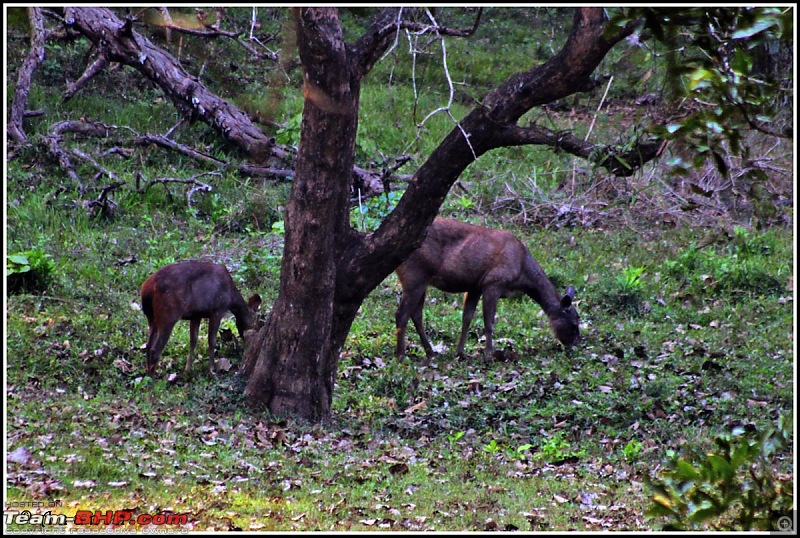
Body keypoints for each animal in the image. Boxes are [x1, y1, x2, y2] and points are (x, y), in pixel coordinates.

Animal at [396, 217, 580, 360]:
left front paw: (460, 353)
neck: (522, 271)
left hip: (421, 279)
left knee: (416, 314)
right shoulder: (493, 282)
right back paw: (401, 355)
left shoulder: (475, 287)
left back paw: (429, 351)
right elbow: (489, 322)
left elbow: (467, 318)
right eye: (573, 324)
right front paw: (488, 355)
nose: (574, 345)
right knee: (402, 314)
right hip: (415, 274)